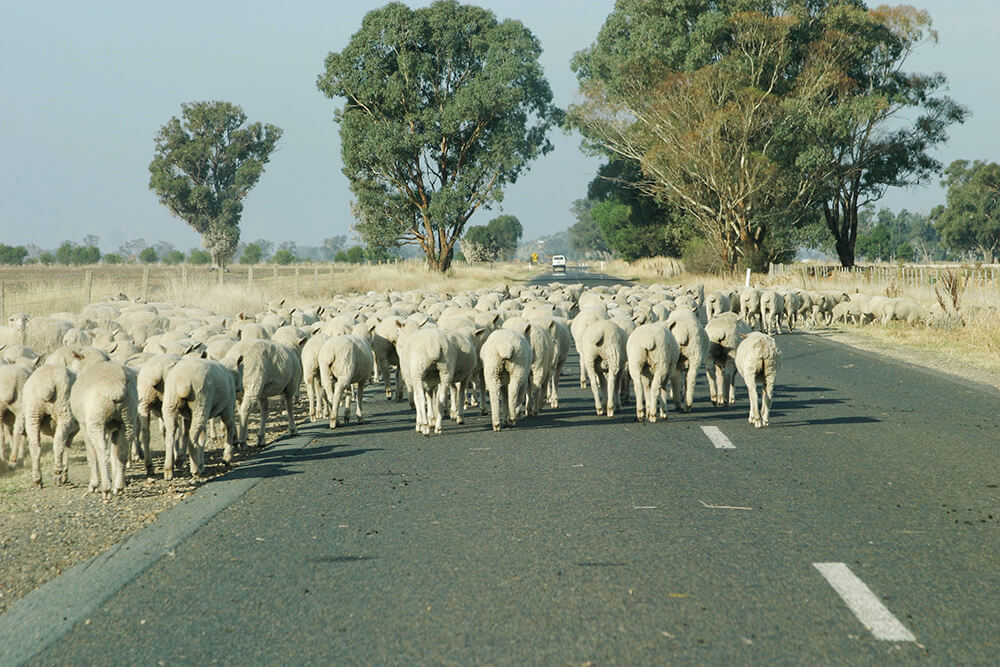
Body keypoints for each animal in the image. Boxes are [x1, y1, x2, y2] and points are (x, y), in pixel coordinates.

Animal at [69, 361, 139, 497]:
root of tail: (115, 388)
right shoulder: (114, 429)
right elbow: (115, 453)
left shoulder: (84, 425)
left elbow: (91, 455)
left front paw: (93, 485)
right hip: (127, 418)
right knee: (122, 452)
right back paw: (118, 487)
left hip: (96, 420)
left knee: (101, 452)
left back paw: (106, 489)